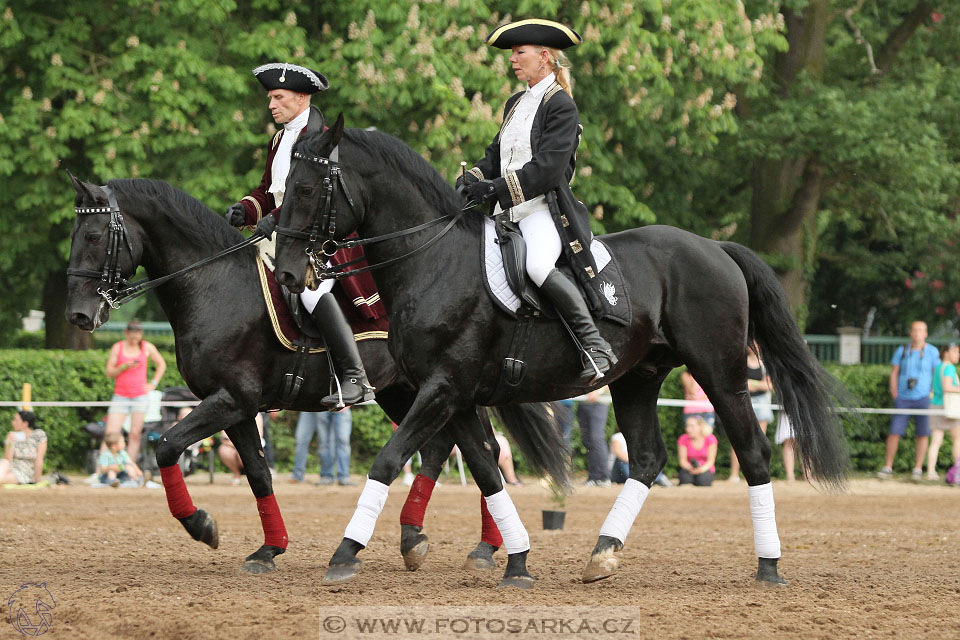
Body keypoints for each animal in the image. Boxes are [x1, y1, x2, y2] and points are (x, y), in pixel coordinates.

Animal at [65, 174, 568, 576]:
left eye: (94, 235)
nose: (78, 315)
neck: (214, 284)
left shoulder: (231, 398)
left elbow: (165, 444)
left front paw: (202, 525)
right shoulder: (236, 407)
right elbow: (258, 473)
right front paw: (269, 549)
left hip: (438, 388)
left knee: (478, 448)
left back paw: (483, 546)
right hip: (407, 392)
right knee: (448, 447)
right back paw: (425, 538)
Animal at [270, 117, 848, 588]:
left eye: (306, 187)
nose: (289, 275)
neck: (433, 261)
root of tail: (714, 247)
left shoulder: (443, 388)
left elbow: (389, 460)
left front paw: (346, 553)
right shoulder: (453, 395)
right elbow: (486, 469)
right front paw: (517, 560)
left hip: (720, 373)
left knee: (752, 451)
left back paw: (768, 565)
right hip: (637, 378)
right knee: (646, 458)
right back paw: (603, 553)